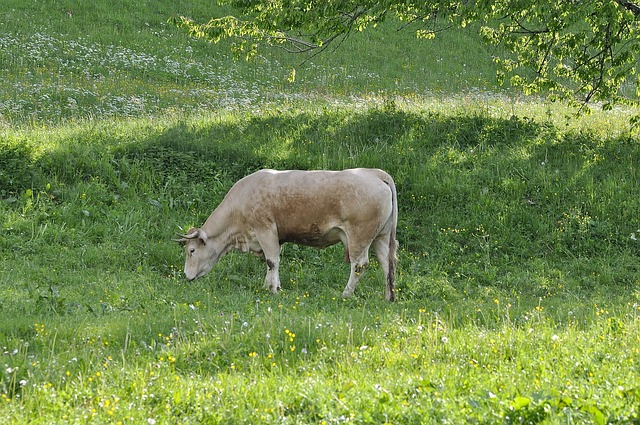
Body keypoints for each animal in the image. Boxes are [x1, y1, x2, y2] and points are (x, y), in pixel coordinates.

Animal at [178, 167, 398, 300]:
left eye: (191, 251)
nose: (186, 275)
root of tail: (374, 173)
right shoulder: (276, 237)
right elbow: (271, 261)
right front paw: (269, 285)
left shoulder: (265, 229)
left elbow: (272, 261)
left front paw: (273, 290)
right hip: (381, 236)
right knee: (387, 263)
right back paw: (388, 296)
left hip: (359, 237)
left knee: (360, 265)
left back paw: (346, 294)